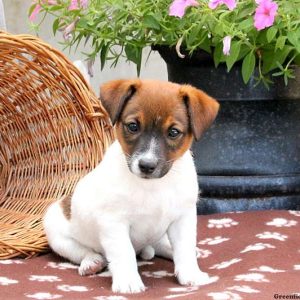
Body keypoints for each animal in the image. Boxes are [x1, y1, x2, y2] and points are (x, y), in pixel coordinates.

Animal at [43, 78, 219, 294]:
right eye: (133, 126)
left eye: (173, 132)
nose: (147, 165)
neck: (153, 186)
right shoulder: (114, 223)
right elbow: (123, 253)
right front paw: (128, 281)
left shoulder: (182, 218)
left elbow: (184, 248)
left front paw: (191, 274)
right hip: (57, 236)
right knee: (82, 252)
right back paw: (92, 262)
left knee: (163, 245)